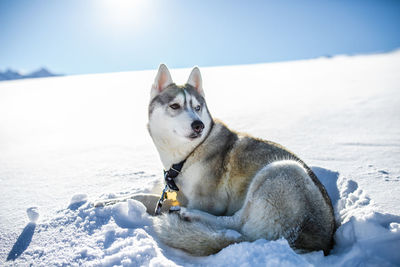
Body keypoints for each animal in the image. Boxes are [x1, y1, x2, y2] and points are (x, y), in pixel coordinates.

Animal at [97, 63, 334, 256]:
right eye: (175, 106)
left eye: (197, 107)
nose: (198, 125)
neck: (187, 155)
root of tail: (321, 241)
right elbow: (143, 196)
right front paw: (107, 202)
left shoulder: (207, 201)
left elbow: (148, 198)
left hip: (281, 170)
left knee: (237, 224)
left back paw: (189, 215)